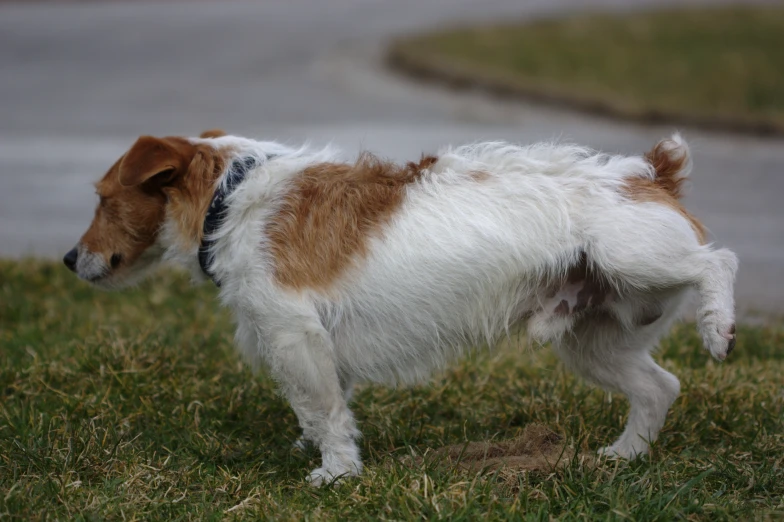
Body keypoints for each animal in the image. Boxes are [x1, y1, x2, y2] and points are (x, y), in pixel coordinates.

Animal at [64, 129, 740, 484]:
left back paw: (719, 326)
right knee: (658, 388)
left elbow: (324, 410)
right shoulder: (313, 350)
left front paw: (336, 474)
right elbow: (320, 410)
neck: (230, 201)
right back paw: (624, 456)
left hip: (637, 257)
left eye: (103, 198)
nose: (70, 259)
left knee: (717, 262)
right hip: (592, 341)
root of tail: (651, 173)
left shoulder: (295, 336)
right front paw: (315, 451)